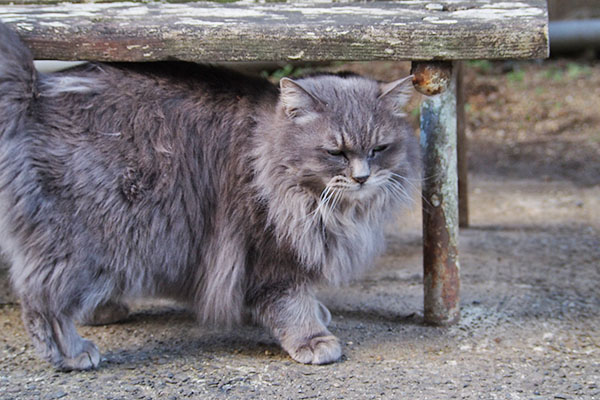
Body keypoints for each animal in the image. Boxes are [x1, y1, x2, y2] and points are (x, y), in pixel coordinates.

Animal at [0, 22, 420, 372]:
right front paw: (313, 338)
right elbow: (292, 304)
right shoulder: (271, 254)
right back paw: (73, 353)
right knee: (43, 302)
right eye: (335, 152)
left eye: (379, 149)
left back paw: (103, 311)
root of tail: (35, 89)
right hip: (86, 236)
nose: (363, 177)